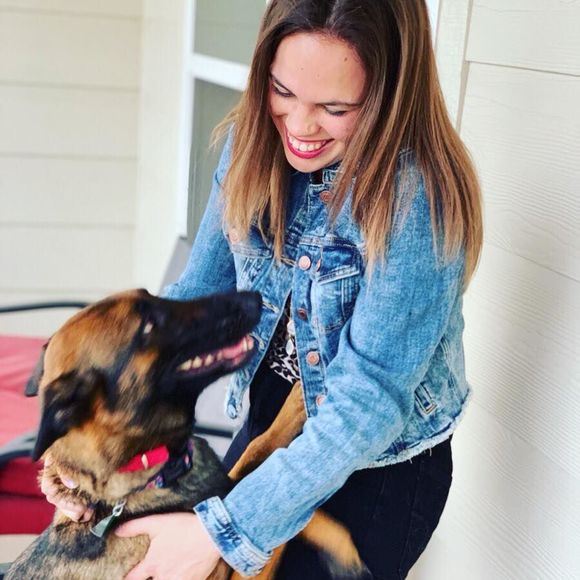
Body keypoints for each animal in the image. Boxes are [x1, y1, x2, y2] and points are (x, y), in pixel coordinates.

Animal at [6, 289, 366, 579]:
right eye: (148, 325)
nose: (252, 297)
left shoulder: (226, 492)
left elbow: (259, 452)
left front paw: (299, 398)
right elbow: (278, 528)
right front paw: (345, 551)